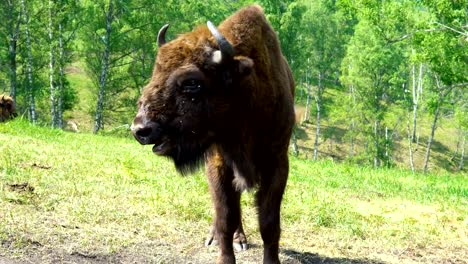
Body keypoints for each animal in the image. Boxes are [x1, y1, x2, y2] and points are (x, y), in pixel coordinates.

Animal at [130, 4, 294, 264]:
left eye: (192, 82)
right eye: (156, 71)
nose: (140, 129)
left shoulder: (277, 163)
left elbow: (269, 223)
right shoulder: (218, 164)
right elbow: (225, 218)